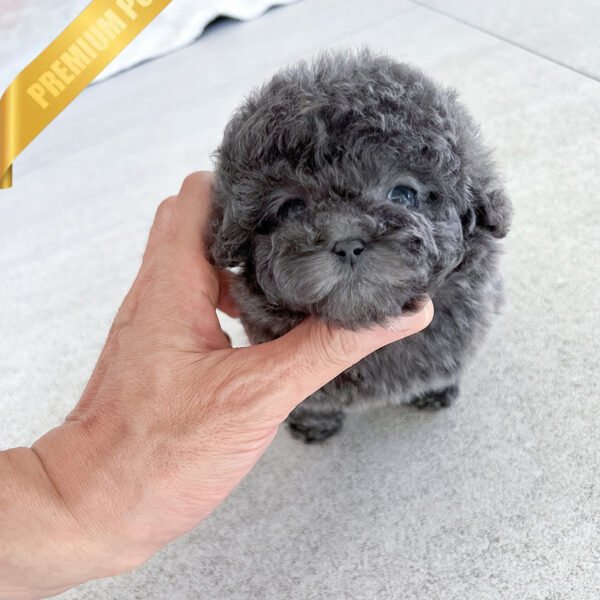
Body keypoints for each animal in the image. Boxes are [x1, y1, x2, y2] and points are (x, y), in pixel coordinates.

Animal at [209, 49, 512, 442]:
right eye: (290, 208)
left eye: (404, 194)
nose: (348, 242)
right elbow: (311, 401)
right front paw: (314, 423)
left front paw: (437, 389)